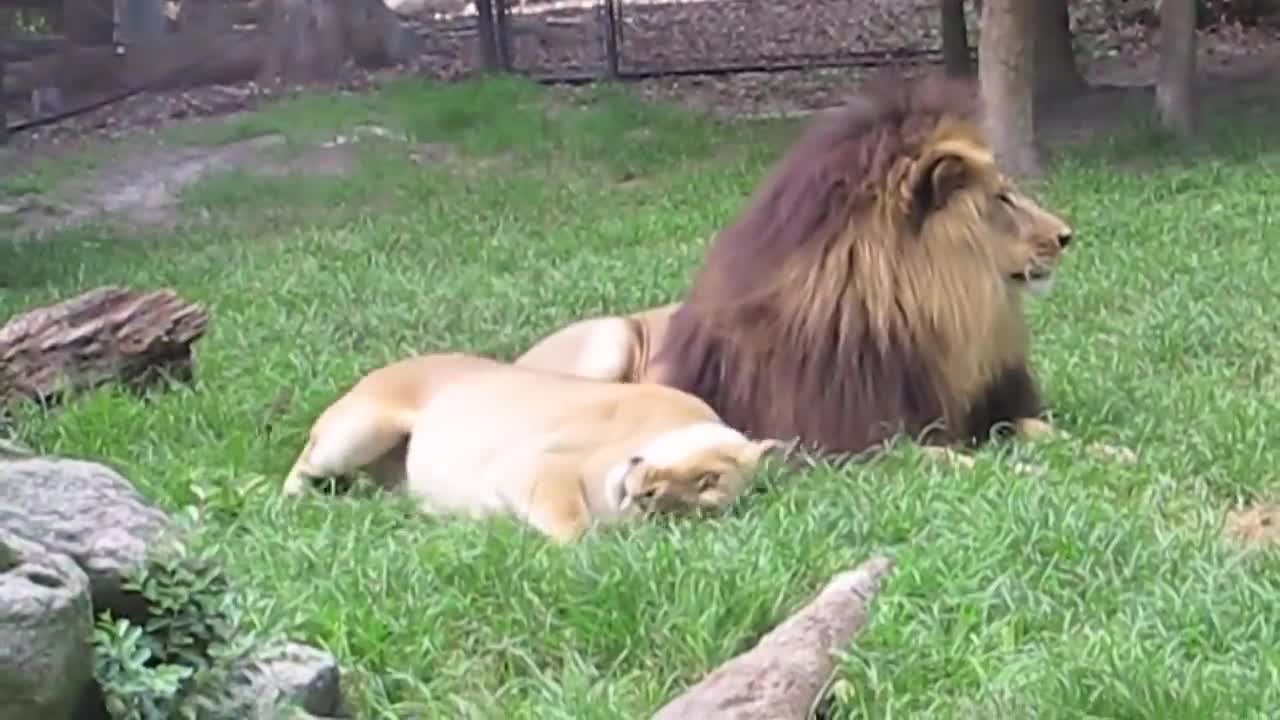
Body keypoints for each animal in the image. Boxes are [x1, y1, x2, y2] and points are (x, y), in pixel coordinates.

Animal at [281, 353, 782, 542]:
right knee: (301, 468)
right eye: (707, 477)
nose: (649, 496)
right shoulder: (531, 466)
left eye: (705, 502)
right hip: (357, 433)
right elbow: (575, 528)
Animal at [517, 72, 1077, 457]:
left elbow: (1050, 432)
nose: (1066, 236)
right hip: (608, 341)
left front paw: (1094, 455)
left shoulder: (988, 409)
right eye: (1002, 198)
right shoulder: (853, 440)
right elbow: (950, 460)